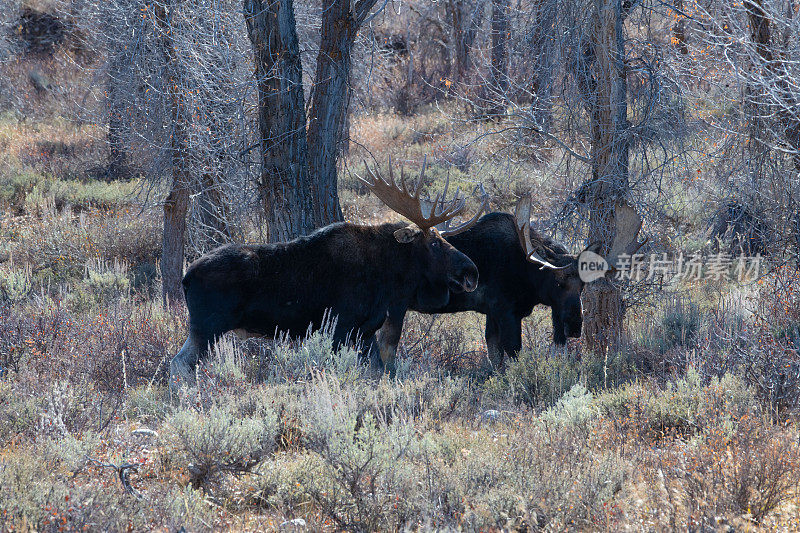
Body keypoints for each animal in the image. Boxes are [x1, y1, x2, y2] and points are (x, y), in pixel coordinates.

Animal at [170, 160, 484, 384]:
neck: (390, 282)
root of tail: (185, 279)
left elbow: (379, 370)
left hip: (204, 328)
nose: (471, 271)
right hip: (207, 326)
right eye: (434, 243)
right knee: (178, 364)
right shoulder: (341, 328)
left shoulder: (365, 331)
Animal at [376, 195, 644, 370]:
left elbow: (495, 357)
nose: (574, 327)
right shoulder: (506, 311)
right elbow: (514, 354)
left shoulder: (492, 312)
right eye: (558, 284)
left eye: (583, 286)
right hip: (394, 306)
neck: (529, 276)